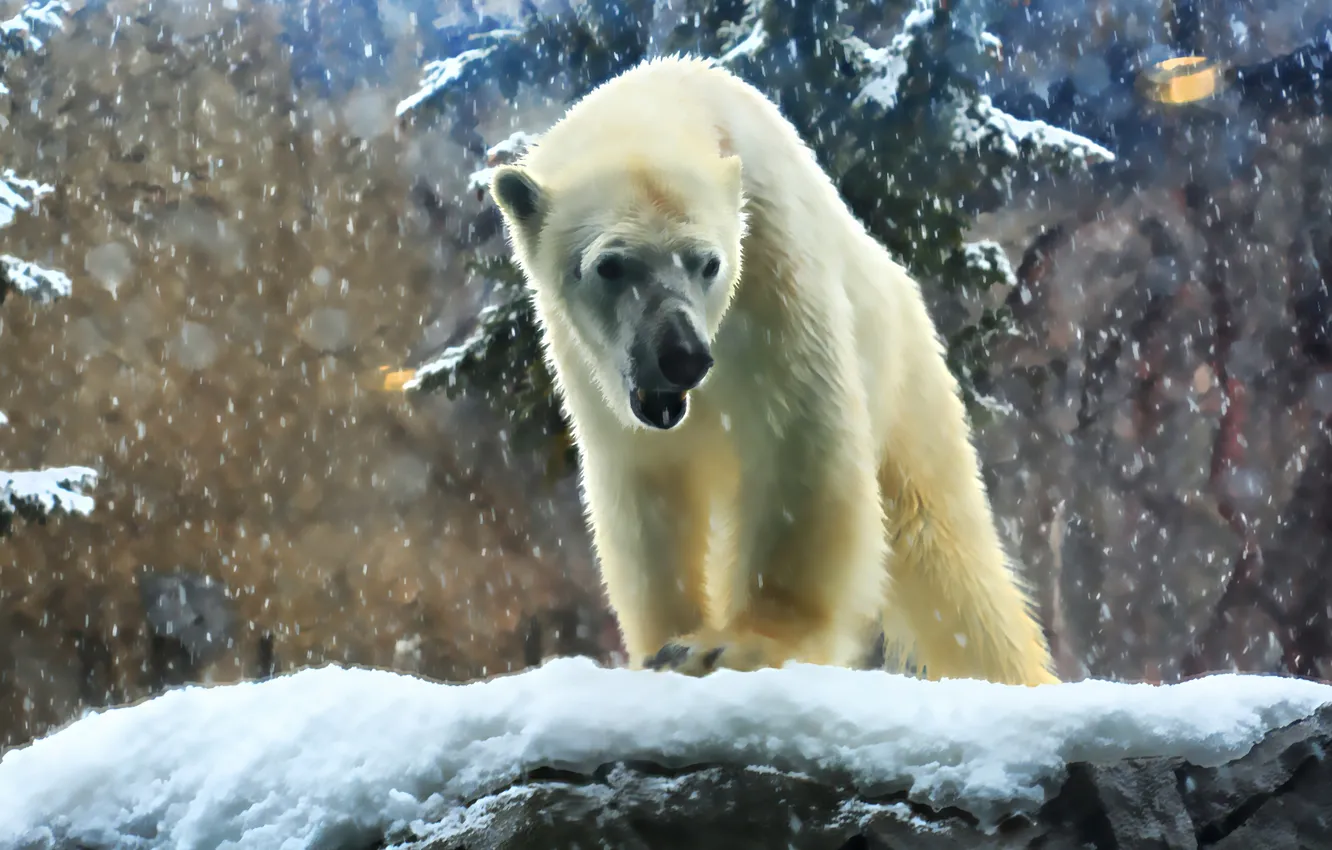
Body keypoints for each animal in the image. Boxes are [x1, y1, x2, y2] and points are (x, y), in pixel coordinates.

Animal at [488, 55, 1060, 687]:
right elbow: (647, 475)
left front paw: (735, 644)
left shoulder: (770, 260)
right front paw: (664, 644)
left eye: (708, 263)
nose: (682, 356)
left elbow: (798, 436)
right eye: (611, 266)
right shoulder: (587, 365)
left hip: (902, 375)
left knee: (943, 544)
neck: (666, 97)